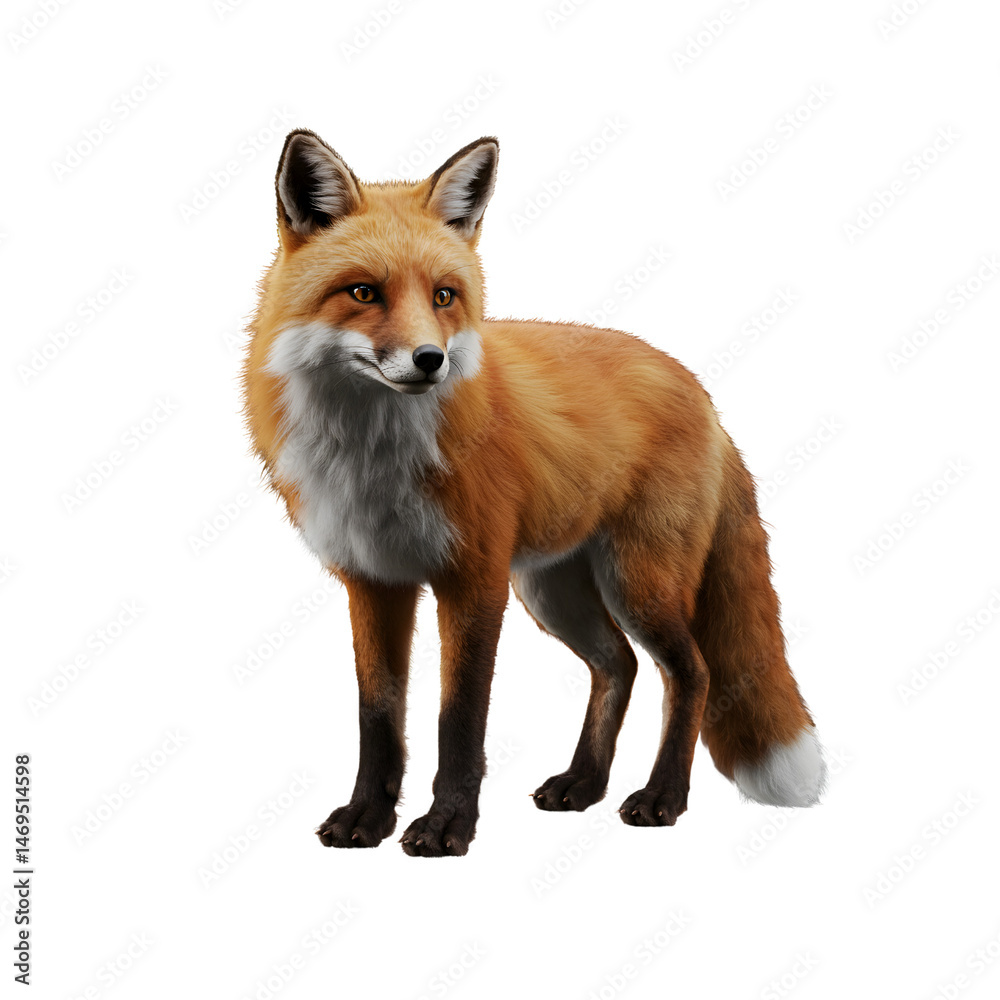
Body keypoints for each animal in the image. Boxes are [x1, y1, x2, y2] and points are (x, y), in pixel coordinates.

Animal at [242, 129, 826, 857]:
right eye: (363, 292)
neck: (375, 452)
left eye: (443, 296)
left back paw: (662, 797)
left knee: (692, 673)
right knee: (619, 666)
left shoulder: (475, 578)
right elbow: (377, 717)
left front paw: (446, 827)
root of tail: (699, 391)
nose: (430, 362)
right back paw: (584, 783)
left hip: (637, 582)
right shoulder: (373, 581)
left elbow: (459, 719)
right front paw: (367, 818)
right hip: (554, 590)